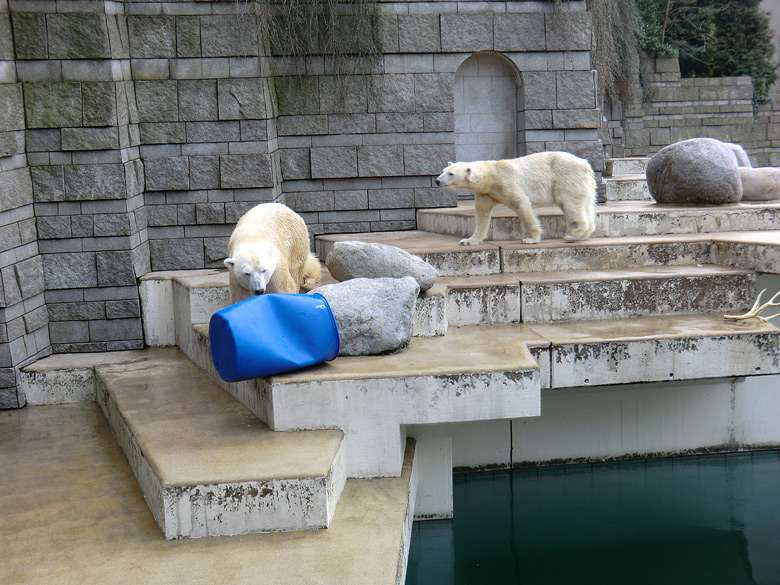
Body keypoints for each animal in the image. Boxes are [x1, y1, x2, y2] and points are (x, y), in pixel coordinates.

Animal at [432, 151, 596, 244]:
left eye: (451, 173)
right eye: (443, 170)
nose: (437, 181)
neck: (491, 175)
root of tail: (586, 164)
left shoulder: (506, 182)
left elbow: (521, 203)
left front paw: (530, 239)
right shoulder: (486, 192)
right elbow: (481, 214)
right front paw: (468, 240)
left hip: (567, 178)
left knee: (569, 203)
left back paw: (574, 235)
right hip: (585, 185)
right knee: (586, 205)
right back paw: (584, 233)